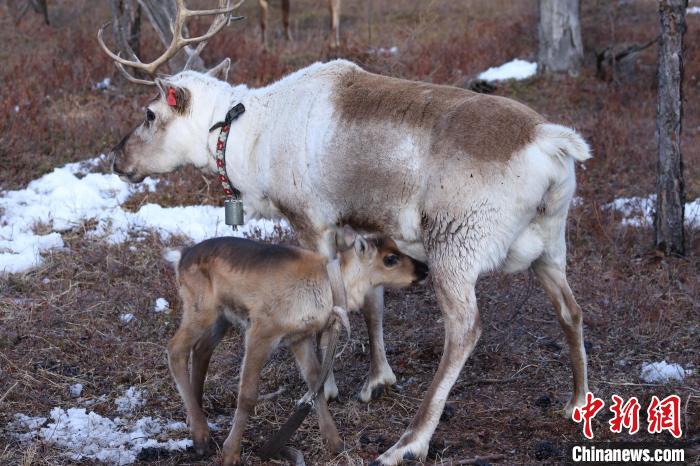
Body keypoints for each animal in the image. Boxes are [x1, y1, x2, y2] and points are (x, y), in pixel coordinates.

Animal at [164, 233, 426, 466]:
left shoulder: (300, 337)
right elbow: (247, 395)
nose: (424, 269)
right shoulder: (261, 331)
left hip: (221, 318)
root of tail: (182, 257)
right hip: (201, 309)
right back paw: (201, 437)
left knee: (201, 349)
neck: (330, 287)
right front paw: (231, 453)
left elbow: (315, 382)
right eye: (390, 258)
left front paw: (335, 443)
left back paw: (195, 418)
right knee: (175, 349)